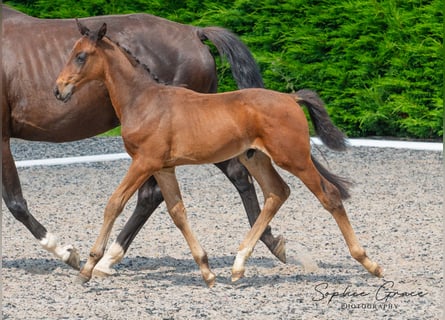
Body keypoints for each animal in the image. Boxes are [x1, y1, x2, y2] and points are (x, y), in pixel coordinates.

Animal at [0, 3, 288, 276]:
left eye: (80, 56)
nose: (59, 90)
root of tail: (194, 32)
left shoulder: (2, 138)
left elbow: (15, 202)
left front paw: (66, 253)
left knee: (152, 195)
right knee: (235, 174)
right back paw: (269, 242)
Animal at [54, 21, 382, 288]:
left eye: (81, 56)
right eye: (71, 53)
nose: (58, 90)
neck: (144, 100)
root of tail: (291, 98)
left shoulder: (143, 162)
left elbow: (114, 204)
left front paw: (88, 267)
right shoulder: (163, 167)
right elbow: (177, 212)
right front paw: (207, 272)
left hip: (294, 158)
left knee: (329, 195)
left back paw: (370, 263)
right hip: (256, 157)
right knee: (277, 192)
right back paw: (238, 266)